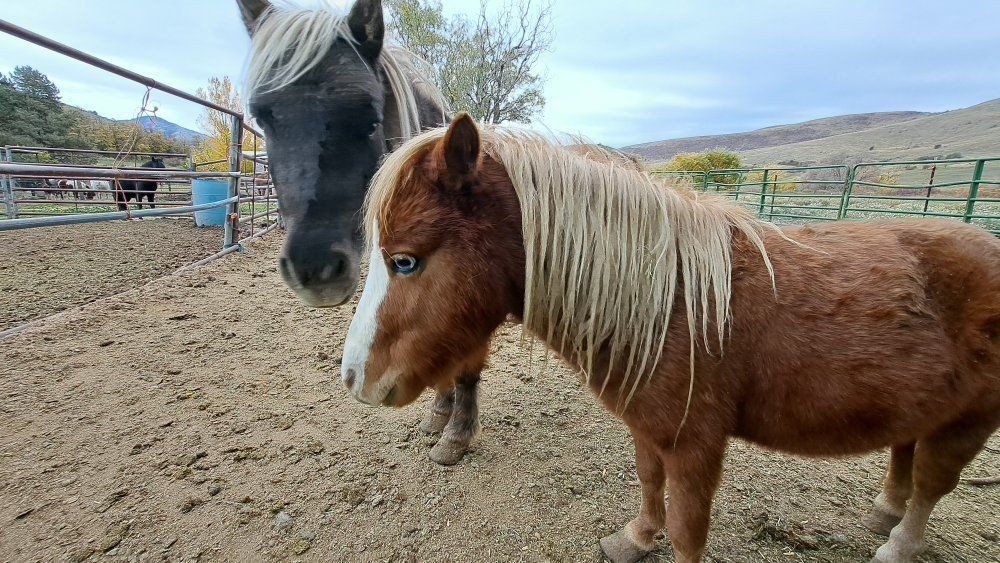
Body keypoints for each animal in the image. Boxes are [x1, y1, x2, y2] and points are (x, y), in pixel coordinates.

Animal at [341, 115, 1000, 563]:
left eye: (405, 262)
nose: (353, 378)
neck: (672, 303)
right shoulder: (649, 427)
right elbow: (648, 484)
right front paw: (635, 538)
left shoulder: (694, 445)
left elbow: (687, 529)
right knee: (905, 454)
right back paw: (884, 513)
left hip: (968, 420)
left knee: (932, 485)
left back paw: (900, 542)